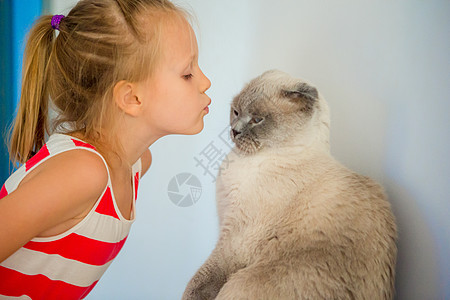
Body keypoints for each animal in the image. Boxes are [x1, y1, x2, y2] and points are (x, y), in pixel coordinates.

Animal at [183, 70, 398, 300]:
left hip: (239, 284)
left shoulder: (235, 241)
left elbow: (198, 282)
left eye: (257, 120)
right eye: (236, 112)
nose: (235, 131)